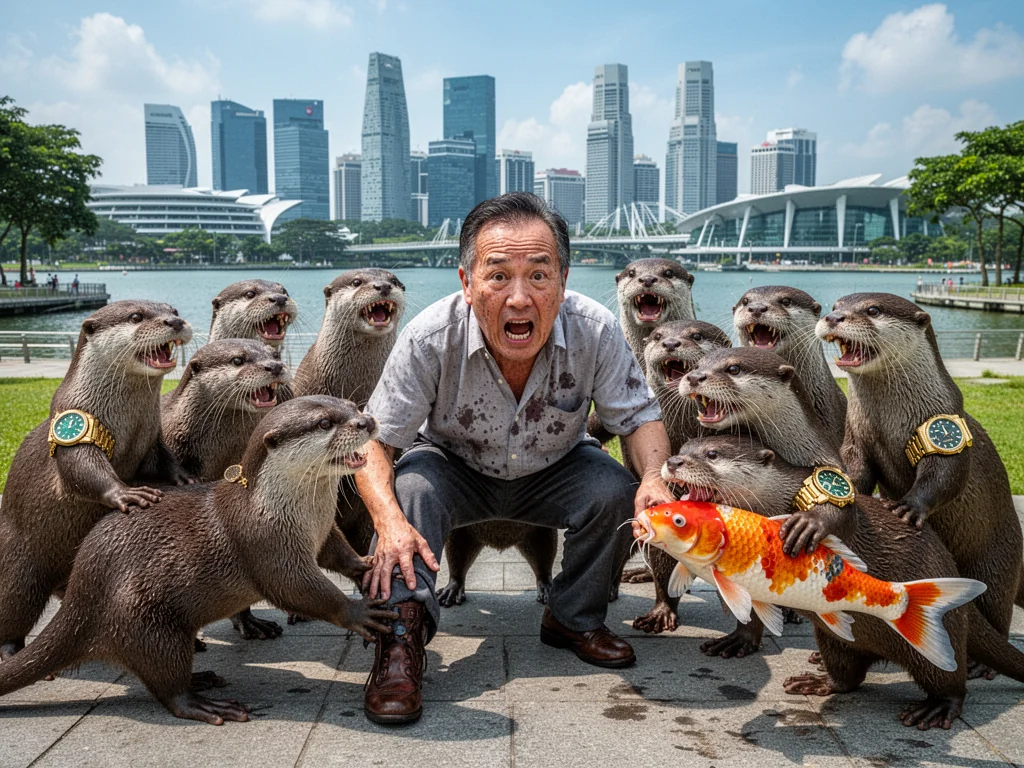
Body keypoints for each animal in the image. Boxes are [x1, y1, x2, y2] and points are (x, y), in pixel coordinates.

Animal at [0, 301, 193, 661]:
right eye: (136, 317)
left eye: (173, 309)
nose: (174, 322)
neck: (129, 422)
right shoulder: (74, 421)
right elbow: (83, 469)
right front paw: (127, 494)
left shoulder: (152, 435)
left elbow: (165, 458)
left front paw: (184, 476)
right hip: (19, 569)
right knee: (13, 610)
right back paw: (11, 651)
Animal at [0, 396, 397, 725]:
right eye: (325, 422)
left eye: (353, 407)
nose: (367, 421)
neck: (293, 510)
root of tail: (81, 600)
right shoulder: (264, 540)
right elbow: (293, 587)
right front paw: (357, 611)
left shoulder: (323, 530)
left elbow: (336, 552)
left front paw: (365, 565)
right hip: (145, 620)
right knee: (166, 686)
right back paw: (204, 702)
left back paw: (202, 677)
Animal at [663, 434, 1024, 730]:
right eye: (682, 448)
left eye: (712, 454)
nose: (673, 462)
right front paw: (737, 639)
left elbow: (843, 507)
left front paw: (809, 523)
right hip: (833, 638)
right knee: (848, 676)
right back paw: (817, 682)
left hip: (939, 636)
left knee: (951, 681)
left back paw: (937, 708)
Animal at [818, 292, 1022, 654]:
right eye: (836, 305)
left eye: (872, 310)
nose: (834, 318)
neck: (888, 423)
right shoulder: (856, 435)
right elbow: (855, 472)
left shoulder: (945, 422)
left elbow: (946, 475)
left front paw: (908, 507)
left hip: (998, 562)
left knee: (997, 606)